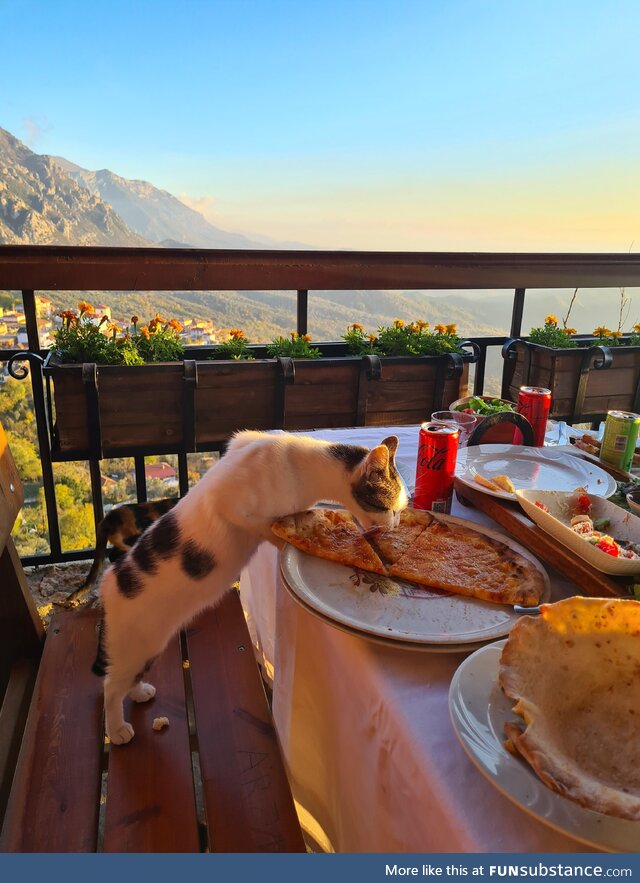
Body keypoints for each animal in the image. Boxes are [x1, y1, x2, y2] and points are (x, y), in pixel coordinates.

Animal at [96, 432, 404, 744]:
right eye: (390, 508)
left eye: (401, 511)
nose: (396, 524)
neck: (301, 465)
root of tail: (108, 584)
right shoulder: (229, 503)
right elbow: (265, 527)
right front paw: (288, 541)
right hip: (134, 644)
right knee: (110, 686)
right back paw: (117, 728)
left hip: (149, 646)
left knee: (129, 677)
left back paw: (139, 692)